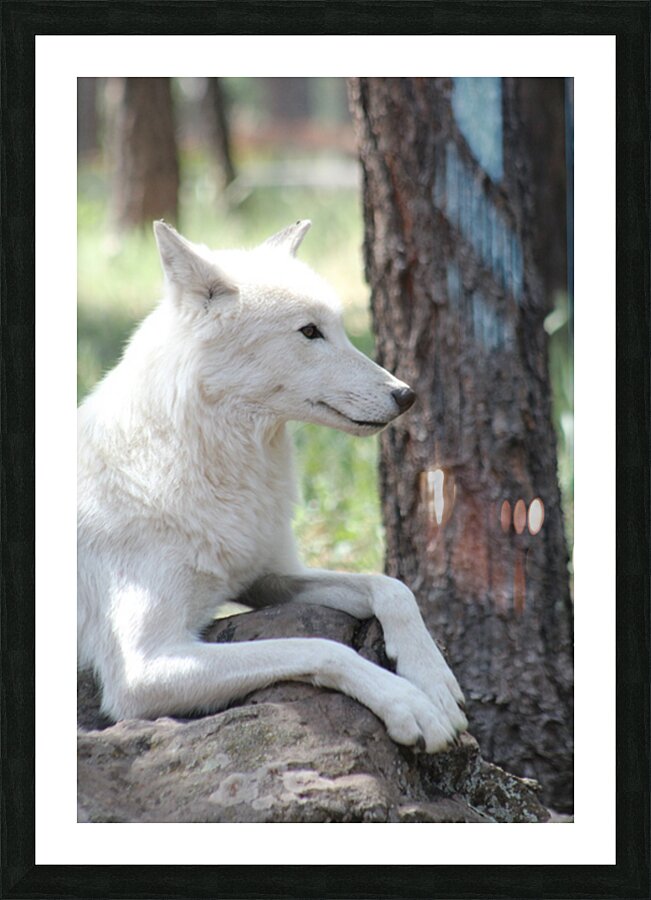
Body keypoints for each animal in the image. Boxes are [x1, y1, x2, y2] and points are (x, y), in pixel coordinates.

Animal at [77, 219, 467, 753]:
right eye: (310, 332)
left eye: (339, 328)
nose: (406, 395)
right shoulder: (143, 669)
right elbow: (322, 647)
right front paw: (410, 703)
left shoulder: (267, 576)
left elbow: (391, 586)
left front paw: (433, 678)